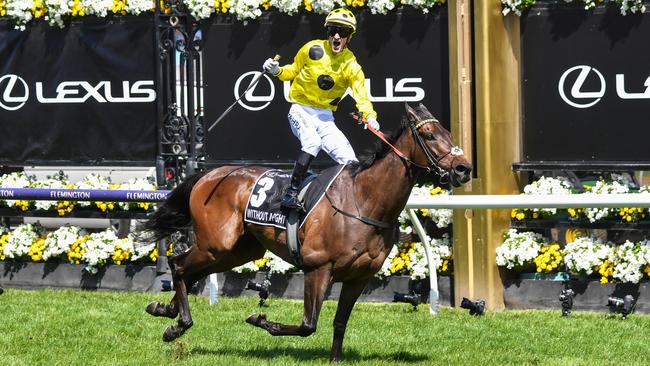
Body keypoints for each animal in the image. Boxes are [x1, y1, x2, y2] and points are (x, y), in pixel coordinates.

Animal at [139, 102, 468, 360]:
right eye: (429, 135)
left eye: (448, 134)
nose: (463, 168)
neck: (364, 201)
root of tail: (209, 173)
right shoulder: (318, 268)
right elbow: (308, 325)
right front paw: (261, 320)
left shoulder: (359, 277)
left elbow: (339, 323)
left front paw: (334, 359)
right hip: (216, 244)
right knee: (179, 264)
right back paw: (179, 322)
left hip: (238, 250)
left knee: (191, 271)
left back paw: (166, 312)